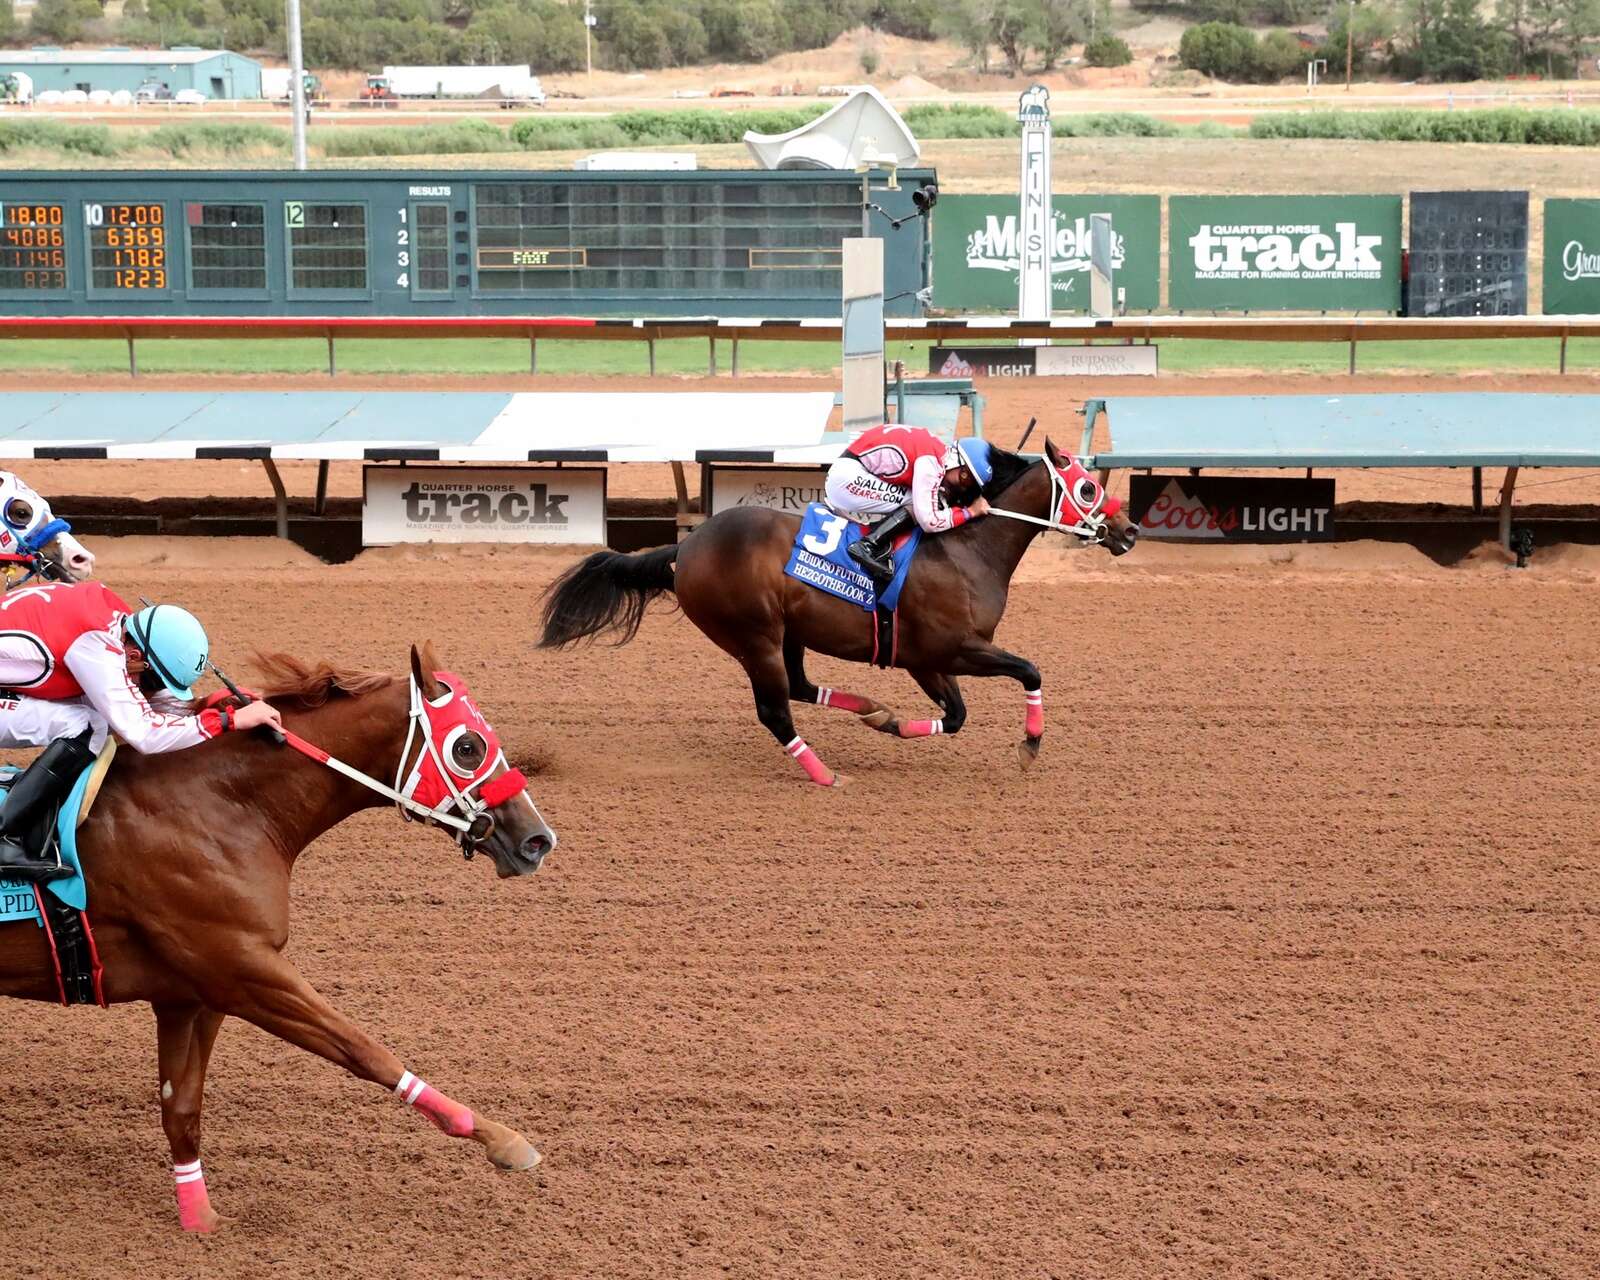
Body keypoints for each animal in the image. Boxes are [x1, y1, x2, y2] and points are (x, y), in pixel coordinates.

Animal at [0, 646, 560, 1235]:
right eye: (468, 747)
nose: (537, 840)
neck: (218, 806)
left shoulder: (192, 995)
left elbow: (181, 1106)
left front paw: (199, 1217)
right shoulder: (243, 970)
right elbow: (366, 1051)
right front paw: (500, 1138)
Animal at [540, 435, 1139, 784]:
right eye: (1088, 487)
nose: (1130, 530)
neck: (966, 549)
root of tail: (683, 551)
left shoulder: (925, 659)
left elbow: (957, 716)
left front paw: (892, 723)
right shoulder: (951, 649)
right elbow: (1028, 672)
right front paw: (1030, 745)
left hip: (788, 632)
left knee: (801, 687)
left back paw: (872, 710)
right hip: (752, 635)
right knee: (775, 709)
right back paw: (825, 775)